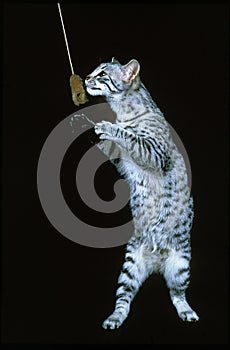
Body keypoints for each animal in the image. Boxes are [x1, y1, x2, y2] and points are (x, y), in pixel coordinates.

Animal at [83, 56, 199, 328]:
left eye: (102, 74)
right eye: (94, 71)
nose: (86, 78)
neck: (124, 111)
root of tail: (156, 264)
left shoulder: (154, 153)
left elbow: (128, 136)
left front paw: (109, 127)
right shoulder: (120, 158)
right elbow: (110, 143)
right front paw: (85, 124)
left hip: (181, 266)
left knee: (177, 293)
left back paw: (187, 311)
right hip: (130, 266)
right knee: (124, 298)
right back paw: (114, 317)